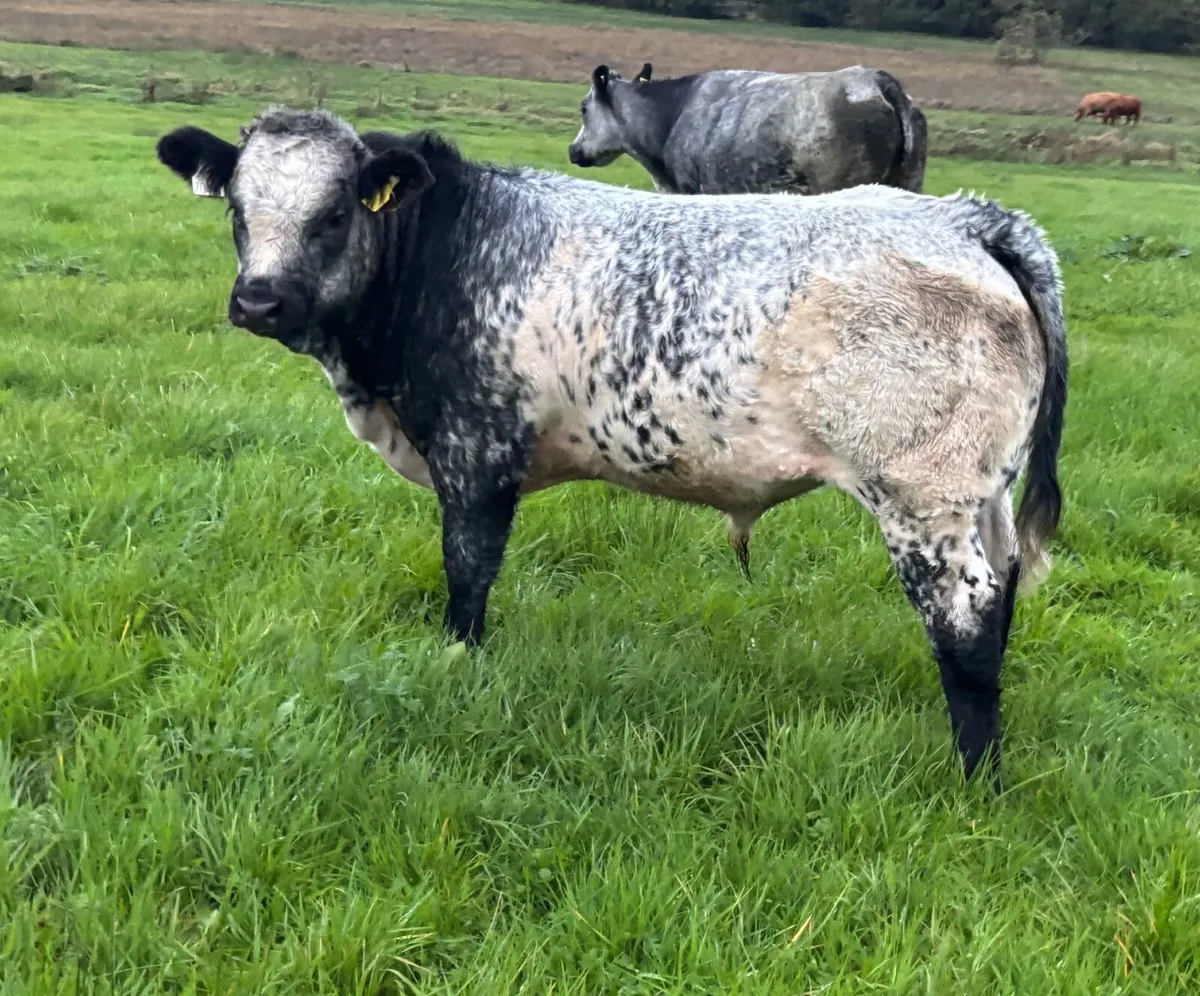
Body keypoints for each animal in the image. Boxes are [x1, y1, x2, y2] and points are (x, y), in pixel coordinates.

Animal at [156, 107, 1067, 788]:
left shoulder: (477, 451)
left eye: (335, 213)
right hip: (984, 491)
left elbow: (467, 576)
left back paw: (976, 783)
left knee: (966, 622)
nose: (260, 301)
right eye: (237, 210)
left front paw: (459, 670)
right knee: (1006, 588)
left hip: (923, 495)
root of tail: (964, 216)